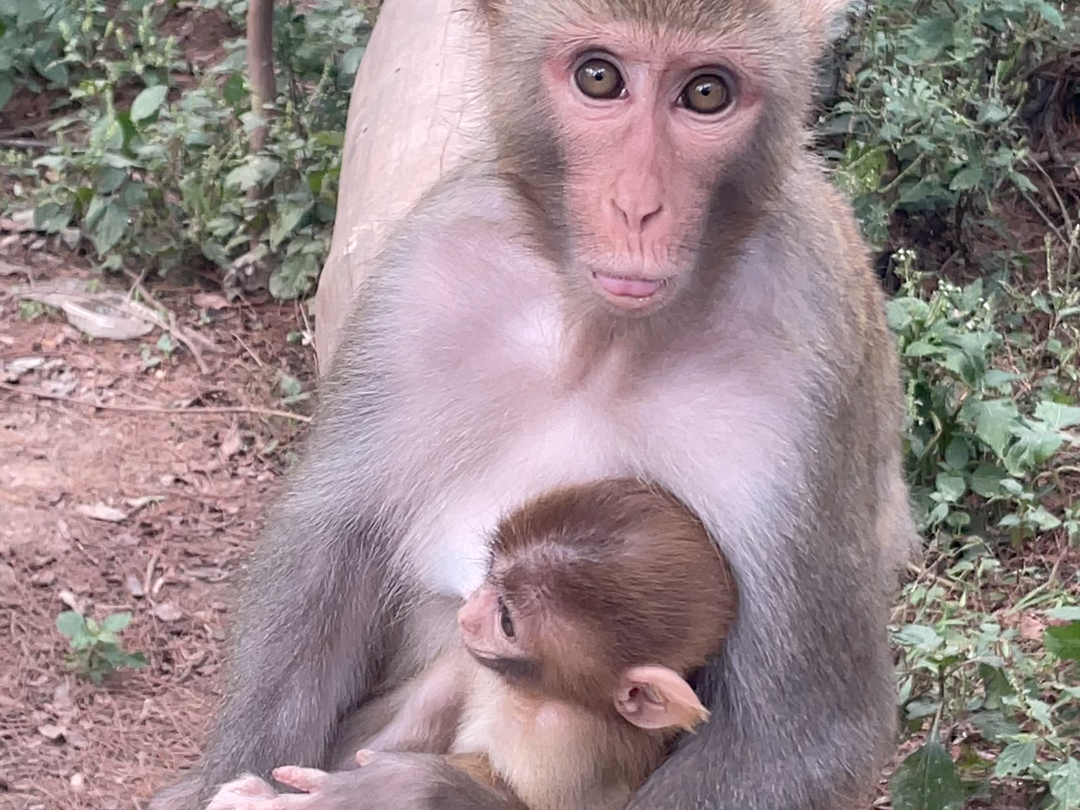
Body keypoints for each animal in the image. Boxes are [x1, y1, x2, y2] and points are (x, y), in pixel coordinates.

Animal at [207, 479, 738, 810]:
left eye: (506, 620)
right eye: (490, 570)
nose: (467, 612)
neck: (527, 696)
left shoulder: (571, 747)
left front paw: (395, 789)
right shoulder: (475, 667)